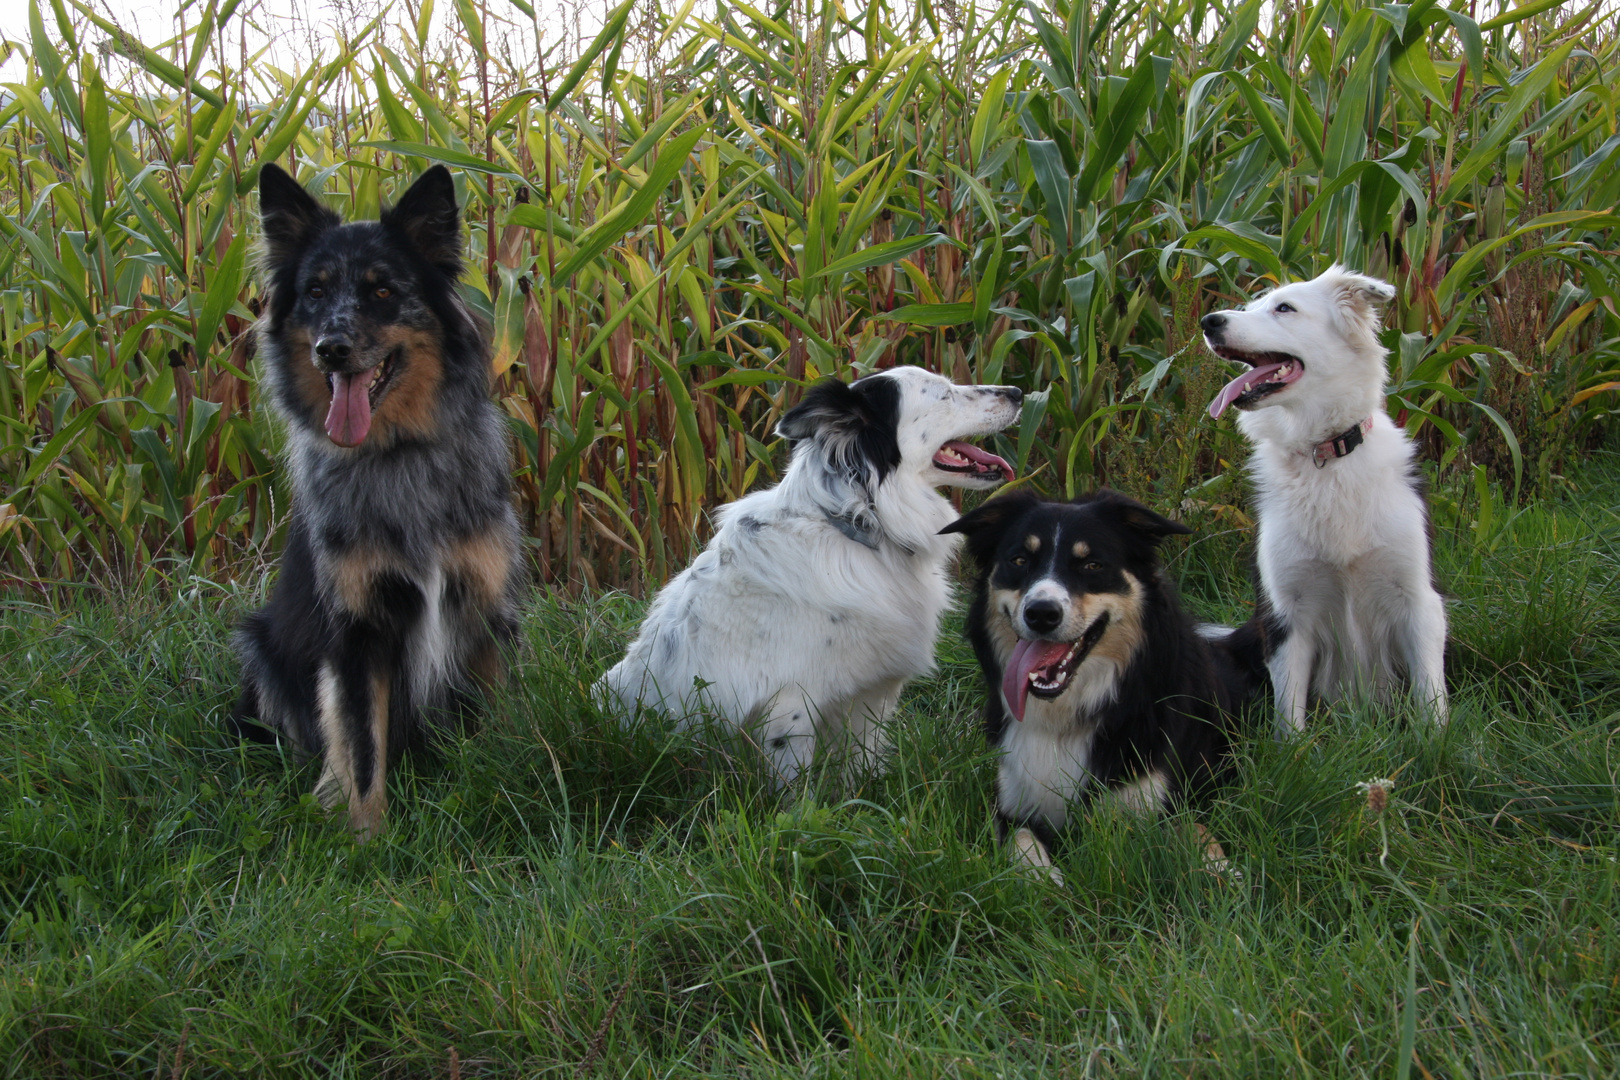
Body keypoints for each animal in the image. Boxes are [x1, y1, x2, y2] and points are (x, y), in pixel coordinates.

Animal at [231, 160, 521, 841]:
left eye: (383, 291)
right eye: (314, 292)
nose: (331, 348)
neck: (399, 455)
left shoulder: (486, 607)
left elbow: (498, 721)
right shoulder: (356, 631)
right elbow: (362, 748)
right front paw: (366, 839)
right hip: (261, 645)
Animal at [602, 367, 1017, 780]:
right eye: (945, 395)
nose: (1016, 391)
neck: (856, 521)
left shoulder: (868, 693)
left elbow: (861, 765)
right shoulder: (790, 703)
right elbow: (795, 782)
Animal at [946, 495, 1270, 880]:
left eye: (1092, 565)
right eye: (1019, 560)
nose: (1041, 613)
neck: (1066, 717)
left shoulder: (1164, 802)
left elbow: (1195, 828)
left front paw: (1220, 871)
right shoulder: (1013, 805)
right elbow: (1021, 842)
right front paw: (1043, 879)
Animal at [1205, 263, 1458, 735]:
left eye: (1284, 308)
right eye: (1250, 306)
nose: (1209, 321)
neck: (1325, 456)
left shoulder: (1419, 598)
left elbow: (1430, 694)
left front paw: (1436, 741)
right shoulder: (1285, 611)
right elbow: (1289, 712)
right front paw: (1293, 749)